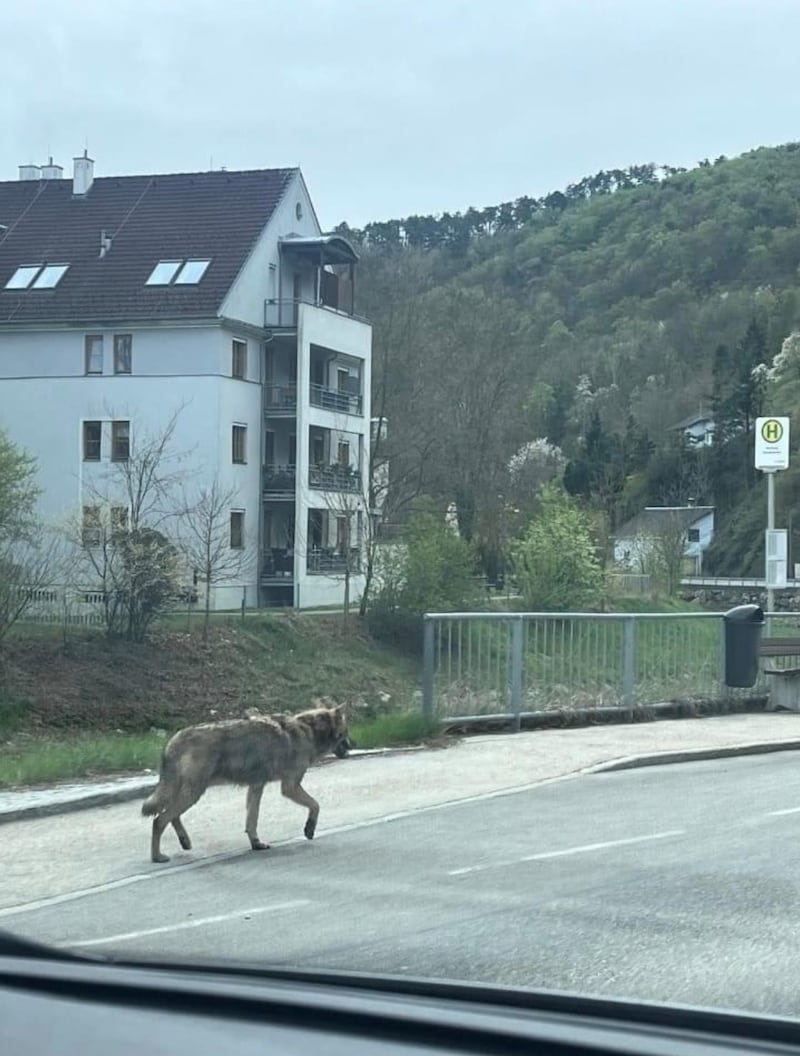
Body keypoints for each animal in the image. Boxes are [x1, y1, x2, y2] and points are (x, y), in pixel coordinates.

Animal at [140, 705, 350, 861]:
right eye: (345, 733)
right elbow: (315, 805)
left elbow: (252, 821)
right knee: (159, 820)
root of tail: (175, 738)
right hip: (193, 793)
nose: (351, 746)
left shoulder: (256, 787)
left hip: (188, 792)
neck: (309, 731)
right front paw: (309, 829)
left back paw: (184, 841)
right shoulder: (290, 787)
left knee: (170, 816)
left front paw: (256, 844)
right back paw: (157, 857)